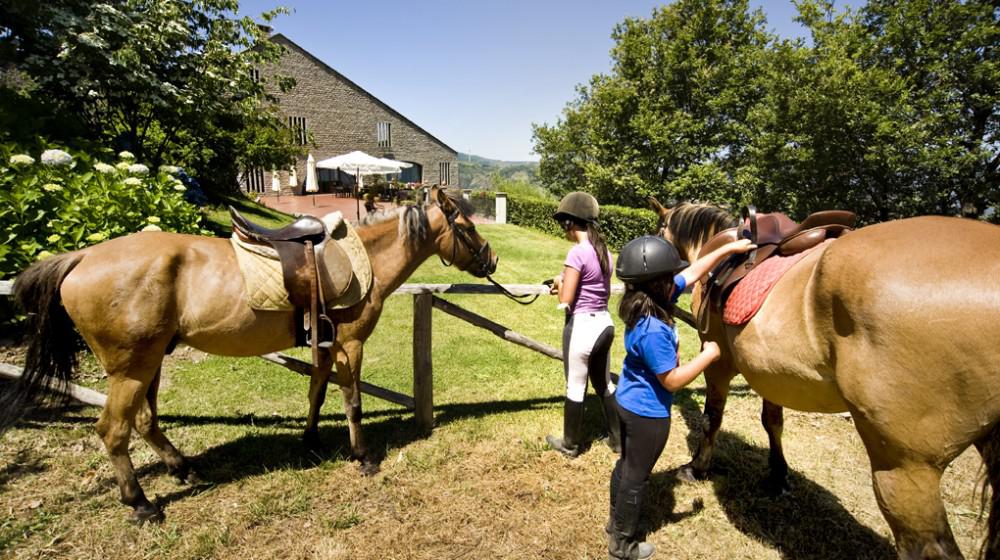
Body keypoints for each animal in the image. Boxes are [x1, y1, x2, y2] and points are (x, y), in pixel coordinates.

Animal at [0, 189, 496, 524]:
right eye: (469, 228)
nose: (491, 260)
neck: (364, 260)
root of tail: (81, 257)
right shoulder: (350, 345)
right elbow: (352, 402)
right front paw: (363, 457)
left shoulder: (324, 344)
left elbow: (317, 392)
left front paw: (311, 442)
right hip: (131, 368)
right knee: (114, 431)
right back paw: (141, 504)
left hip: (150, 362)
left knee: (144, 421)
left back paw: (182, 468)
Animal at [652, 201, 996, 560]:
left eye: (659, 229)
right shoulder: (768, 371)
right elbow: (773, 422)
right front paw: (778, 476)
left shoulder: (716, 358)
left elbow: (712, 419)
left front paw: (697, 468)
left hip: (905, 470)